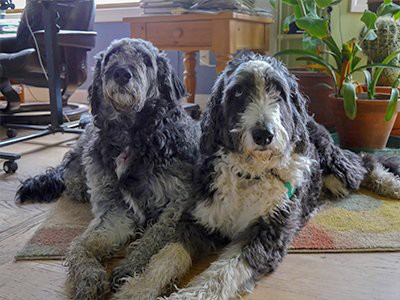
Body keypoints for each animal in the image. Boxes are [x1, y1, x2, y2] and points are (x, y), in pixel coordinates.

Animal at [15, 38, 200, 298]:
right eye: (112, 54)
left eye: (146, 59)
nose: (121, 72)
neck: (131, 136)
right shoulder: (116, 211)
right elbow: (83, 245)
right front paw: (87, 277)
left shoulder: (177, 204)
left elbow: (154, 237)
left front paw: (132, 265)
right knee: (70, 178)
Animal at [112, 52, 400, 300]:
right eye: (238, 92)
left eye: (278, 92)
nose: (264, 134)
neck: (249, 175)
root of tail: (310, 119)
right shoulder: (198, 219)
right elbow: (165, 256)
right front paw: (136, 289)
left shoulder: (265, 236)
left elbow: (221, 275)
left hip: (338, 171)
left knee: (364, 162)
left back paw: (390, 184)